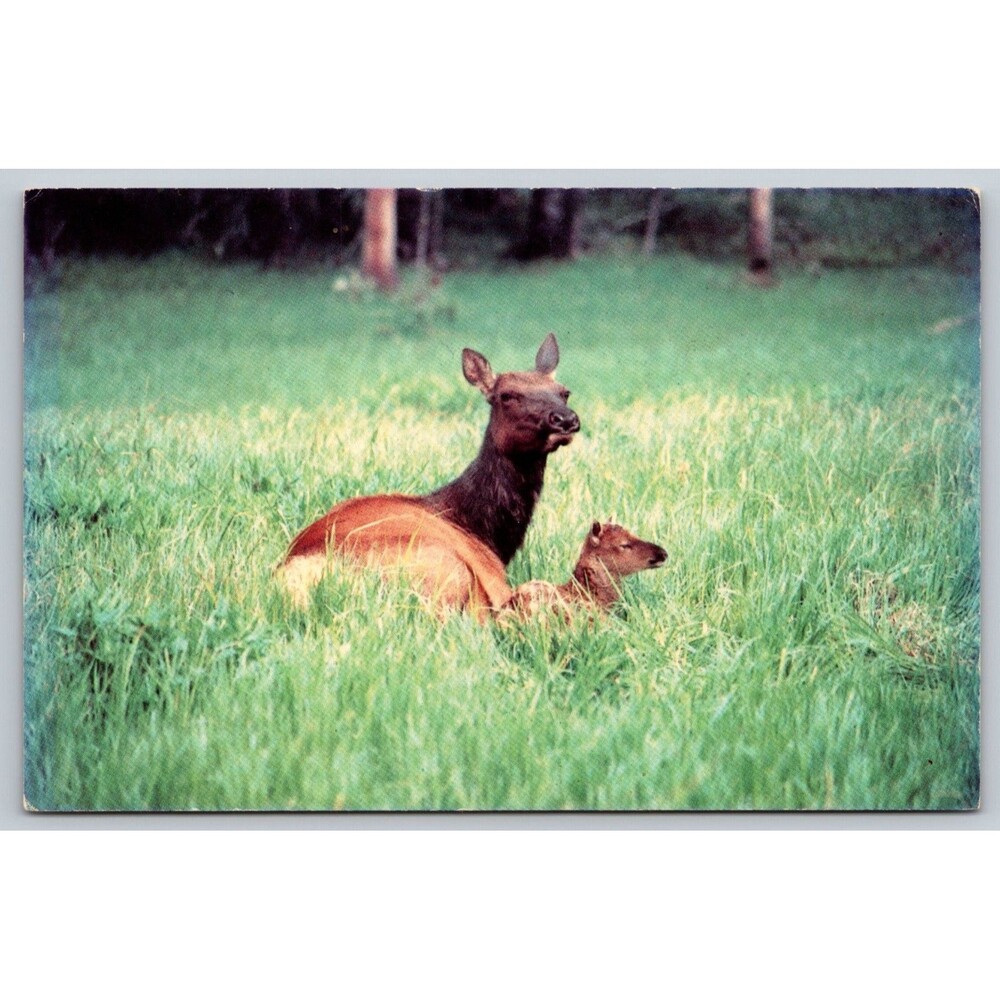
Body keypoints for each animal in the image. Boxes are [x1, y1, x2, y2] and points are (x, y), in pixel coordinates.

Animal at [278, 333, 580, 615]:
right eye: (507, 395)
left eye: (564, 392)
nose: (565, 419)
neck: (485, 532)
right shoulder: (491, 575)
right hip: (444, 568)